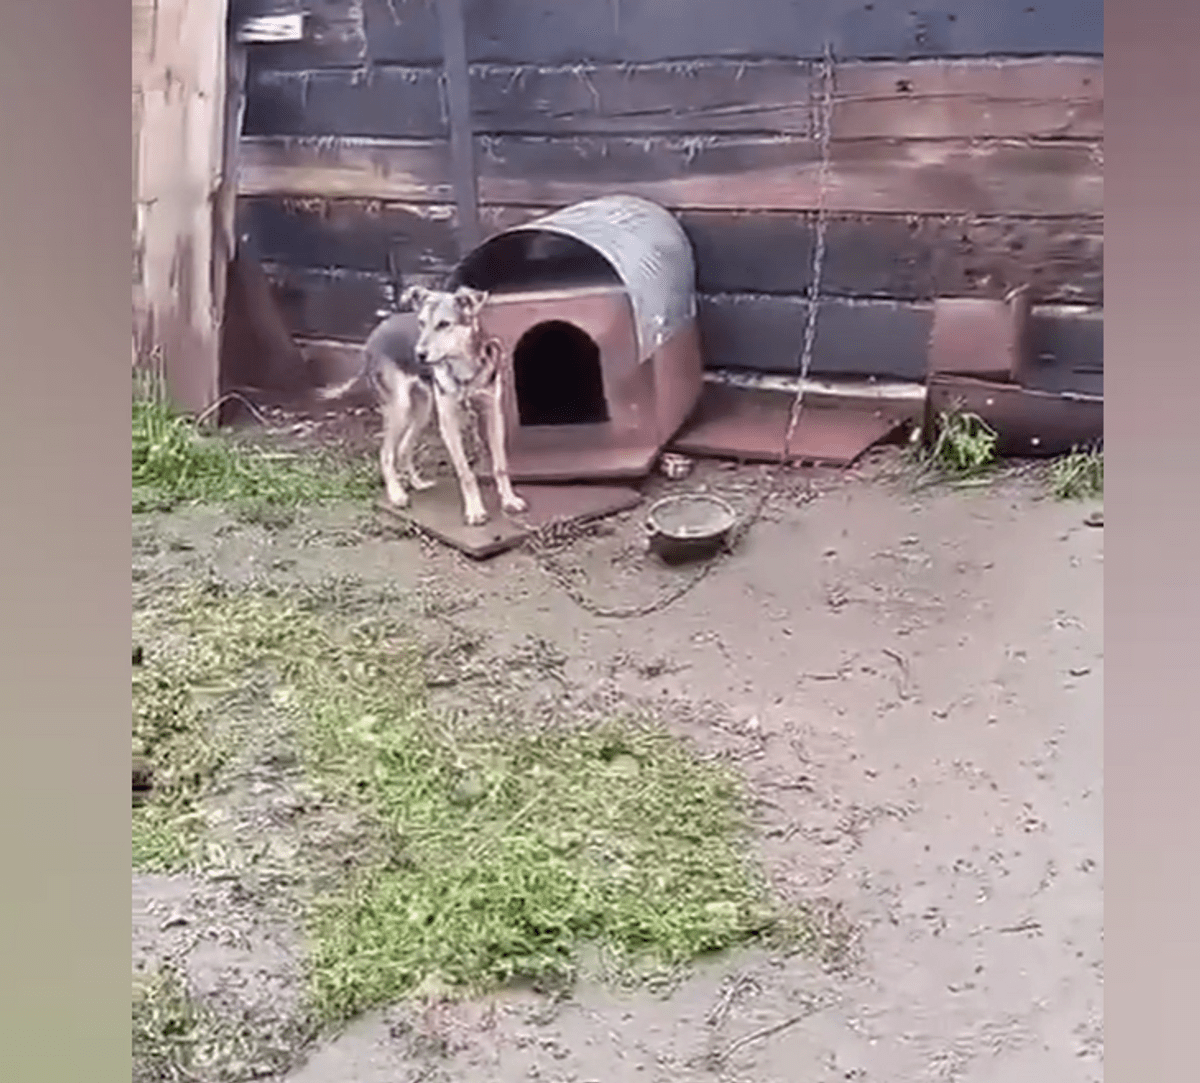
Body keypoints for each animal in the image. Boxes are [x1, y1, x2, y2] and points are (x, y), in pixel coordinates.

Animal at [316, 285, 528, 528]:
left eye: (444, 324)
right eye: (421, 322)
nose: (419, 354)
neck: (463, 370)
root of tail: (374, 335)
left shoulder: (493, 412)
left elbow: (500, 465)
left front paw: (509, 500)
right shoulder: (448, 422)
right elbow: (465, 473)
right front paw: (475, 511)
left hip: (422, 410)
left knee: (403, 448)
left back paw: (417, 483)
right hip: (400, 408)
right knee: (386, 453)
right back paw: (397, 494)